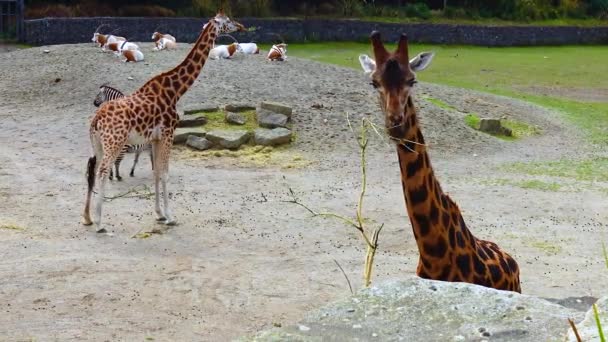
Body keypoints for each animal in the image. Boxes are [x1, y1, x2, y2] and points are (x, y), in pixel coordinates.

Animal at [82, 9, 246, 232]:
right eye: (227, 20)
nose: (240, 26)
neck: (175, 90)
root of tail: (97, 118)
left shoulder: (154, 138)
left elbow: (156, 172)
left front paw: (159, 214)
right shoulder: (169, 132)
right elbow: (165, 173)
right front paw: (170, 217)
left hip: (98, 143)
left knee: (92, 169)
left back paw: (88, 218)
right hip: (114, 142)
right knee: (102, 172)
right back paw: (100, 223)